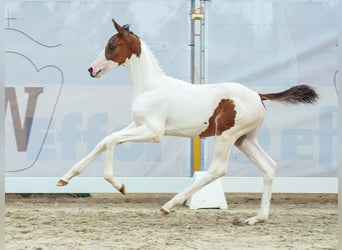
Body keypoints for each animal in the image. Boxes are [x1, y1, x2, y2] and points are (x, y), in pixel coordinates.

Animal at [56, 18, 318, 224]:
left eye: (111, 45)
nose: (91, 69)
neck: (151, 86)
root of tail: (258, 95)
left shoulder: (154, 132)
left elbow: (110, 141)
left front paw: (119, 185)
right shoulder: (138, 125)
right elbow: (105, 140)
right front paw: (65, 178)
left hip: (227, 136)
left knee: (217, 169)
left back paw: (168, 205)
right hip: (245, 139)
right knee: (268, 167)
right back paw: (257, 218)